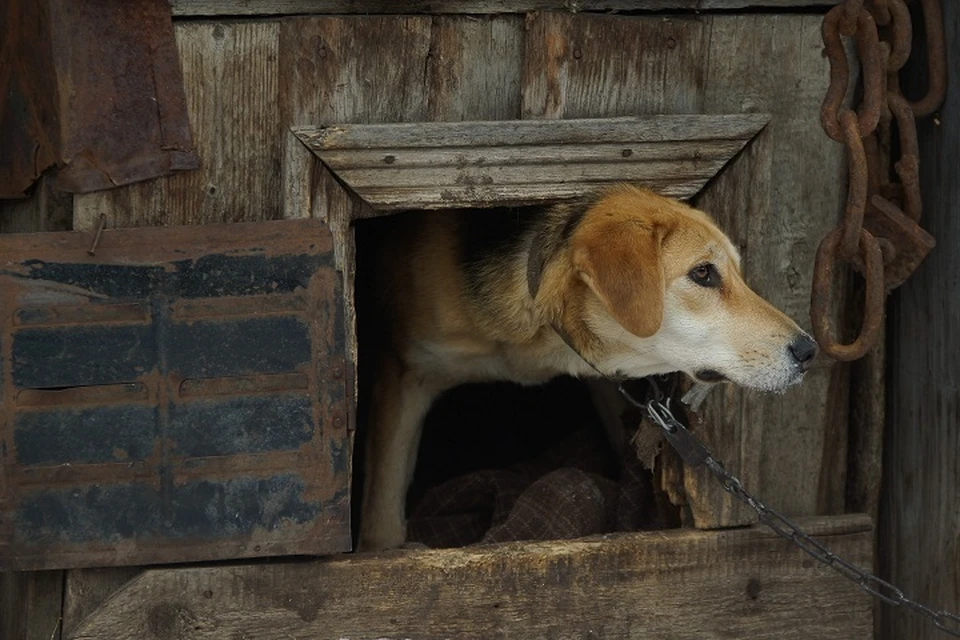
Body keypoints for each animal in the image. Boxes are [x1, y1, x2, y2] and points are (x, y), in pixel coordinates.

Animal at [360, 184, 816, 552]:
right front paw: (384, 552)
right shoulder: (403, 373)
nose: (809, 350)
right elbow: (382, 505)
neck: (538, 330)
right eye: (703, 272)